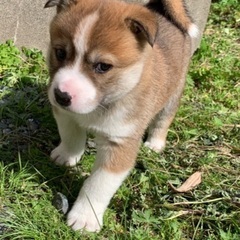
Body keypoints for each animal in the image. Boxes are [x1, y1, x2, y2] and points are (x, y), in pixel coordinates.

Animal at [44, 0, 197, 232]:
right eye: (60, 53)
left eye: (103, 66)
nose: (62, 96)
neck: (101, 105)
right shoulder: (65, 115)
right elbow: (71, 136)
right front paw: (67, 155)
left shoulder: (120, 144)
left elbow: (97, 185)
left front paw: (85, 217)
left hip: (173, 93)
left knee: (163, 120)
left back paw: (155, 143)